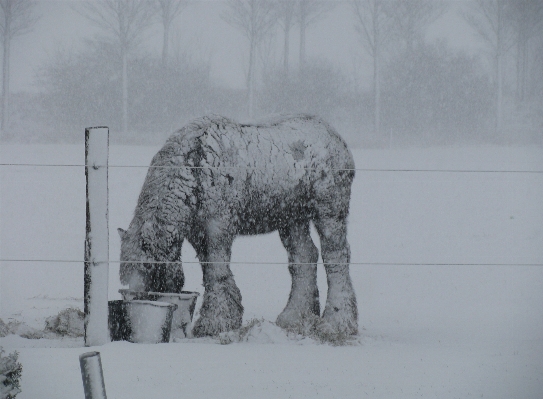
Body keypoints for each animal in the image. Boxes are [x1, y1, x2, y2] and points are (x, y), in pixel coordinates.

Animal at [117, 115, 360, 338]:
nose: (136, 303)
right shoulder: (198, 233)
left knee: (336, 257)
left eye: (148, 268)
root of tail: (336, 137)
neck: (193, 167)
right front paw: (227, 315)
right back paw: (294, 317)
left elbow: (216, 271)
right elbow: (210, 271)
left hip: (329, 211)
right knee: (304, 257)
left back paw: (338, 321)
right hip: (292, 219)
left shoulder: (218, 226)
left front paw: (215, 321)